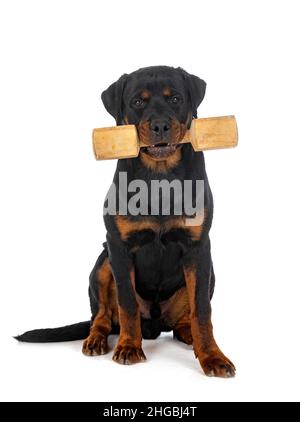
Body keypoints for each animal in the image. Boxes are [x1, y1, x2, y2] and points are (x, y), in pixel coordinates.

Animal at [17, 67, 237, 380]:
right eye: (137, 102)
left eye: (176, 98)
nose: (160, 126)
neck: (159, 178)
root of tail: (155, 327)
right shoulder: (119, 247)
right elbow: (127, 304)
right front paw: (129, 347)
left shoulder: (198, 247)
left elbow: (202, 310)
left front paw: (212, 356)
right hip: (102, 263)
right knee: (101, 317)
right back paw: (96, 339)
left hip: (209, 273)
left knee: (184, 319)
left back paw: (188, 334)